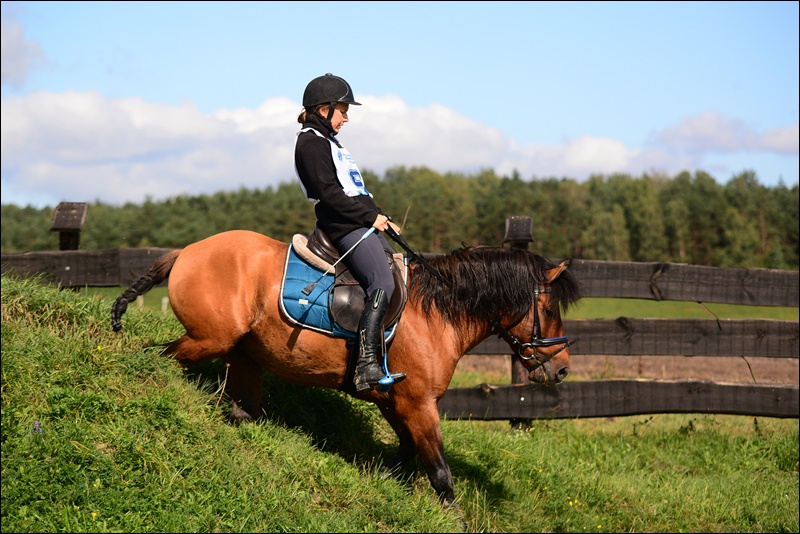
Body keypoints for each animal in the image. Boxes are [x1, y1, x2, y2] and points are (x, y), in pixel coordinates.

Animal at [111, 229, 580, 510]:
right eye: (549, 309)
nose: (561, 371)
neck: (437, 312)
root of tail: (186, 252)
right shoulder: (418, 404)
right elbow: (440, 473)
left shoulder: (394, 400)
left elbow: (405, 454)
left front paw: (382, 481)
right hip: (208, 339)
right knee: (157, 357)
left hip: (242, 357)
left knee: (242, 412)